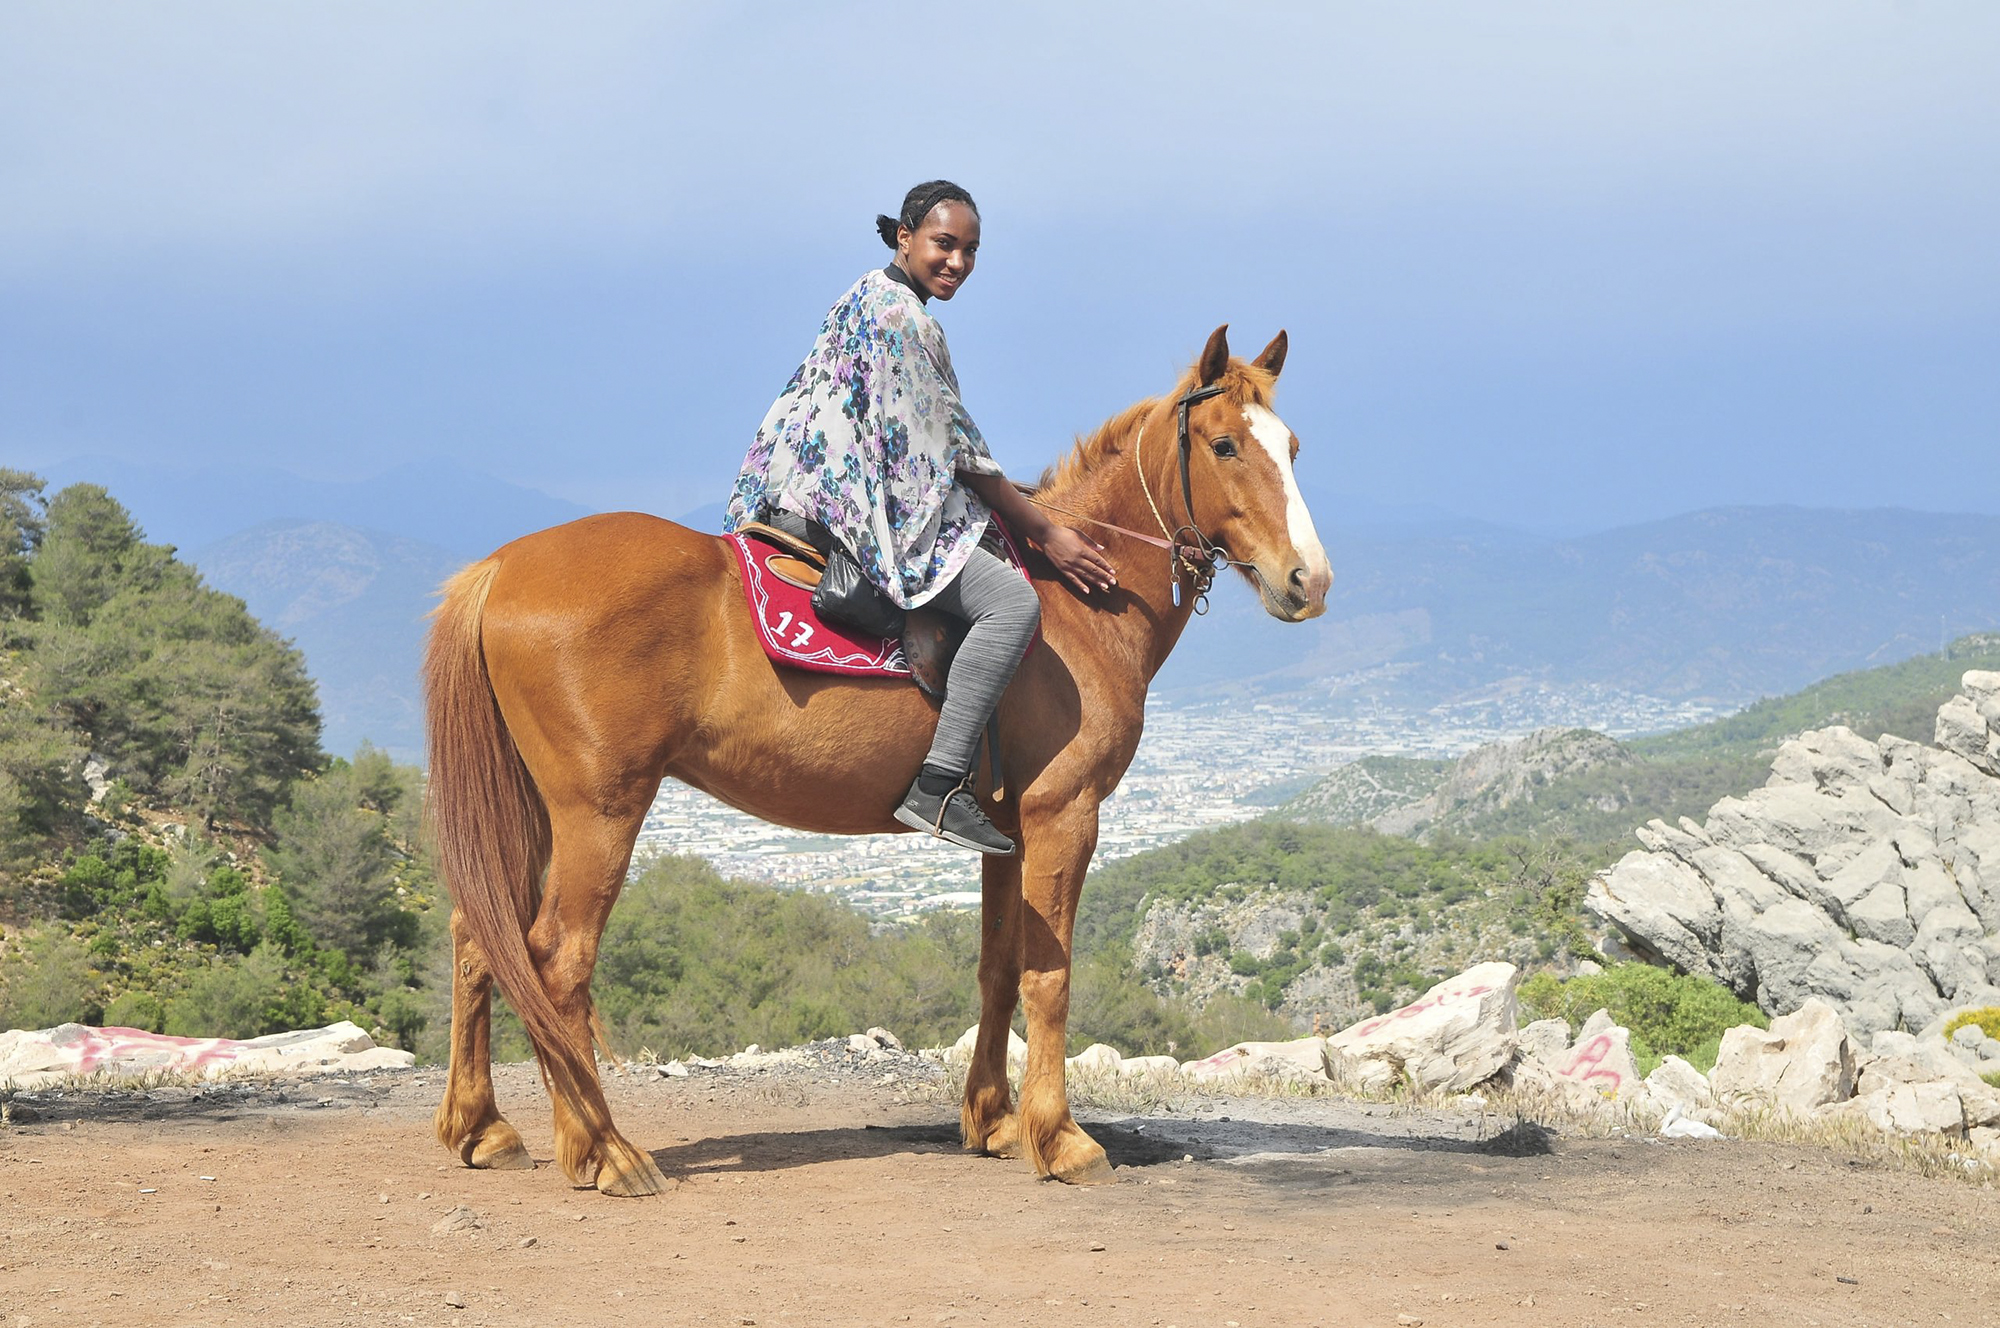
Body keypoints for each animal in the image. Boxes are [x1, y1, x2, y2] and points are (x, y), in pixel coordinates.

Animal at [424, 324, 1333, 1196]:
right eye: (1224, 444)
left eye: (1292, 446)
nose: (1308, 580)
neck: (1074, 605)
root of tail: (498, 568)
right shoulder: (1063, 814)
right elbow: (1050, 977)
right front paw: (1060, 1138)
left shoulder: (1004, 831)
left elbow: (999, 968)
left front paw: (994, 1122)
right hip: (601, 810)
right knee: (557, 960)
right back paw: (603, 1150)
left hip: (532, 807)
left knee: (478, 936)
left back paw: (484, 1129)